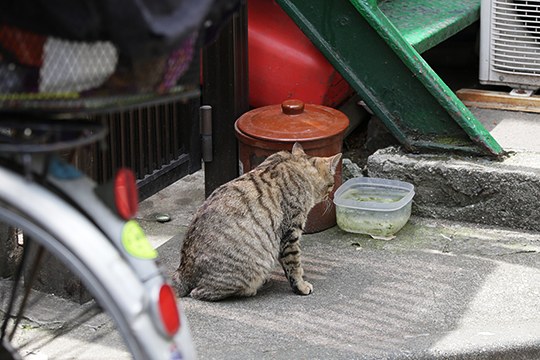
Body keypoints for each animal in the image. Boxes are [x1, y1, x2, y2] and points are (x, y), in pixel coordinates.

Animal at [173, 142, 342, 300]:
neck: (295, 163)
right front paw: (301, 286)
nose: (330, 195)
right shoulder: (290, 232)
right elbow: (293, 264)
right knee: (200, 292)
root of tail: (183, 271)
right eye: (332, 184)